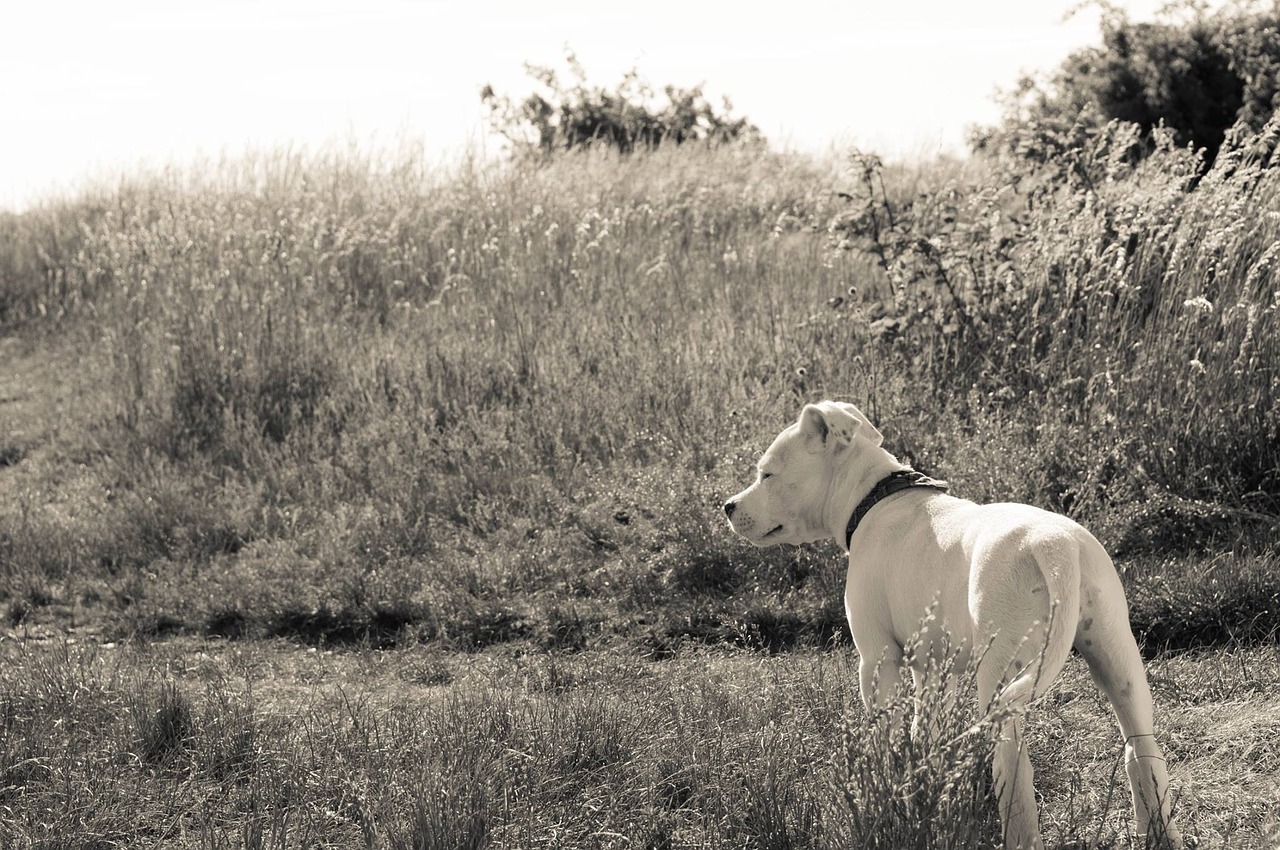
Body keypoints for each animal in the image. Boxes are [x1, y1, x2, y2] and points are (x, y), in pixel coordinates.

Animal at [727, 401, 1182, 850]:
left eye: (767, 474)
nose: (728, 507)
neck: (870, 498)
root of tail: (1055, 547)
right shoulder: (931, 669)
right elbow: (923, 733)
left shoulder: (878, 658)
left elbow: (884, 733)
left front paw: (881, 791)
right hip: (1117, 658)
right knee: (1142, 750)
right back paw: (1158, 832)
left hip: (1002, 669)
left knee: (1013, 768)